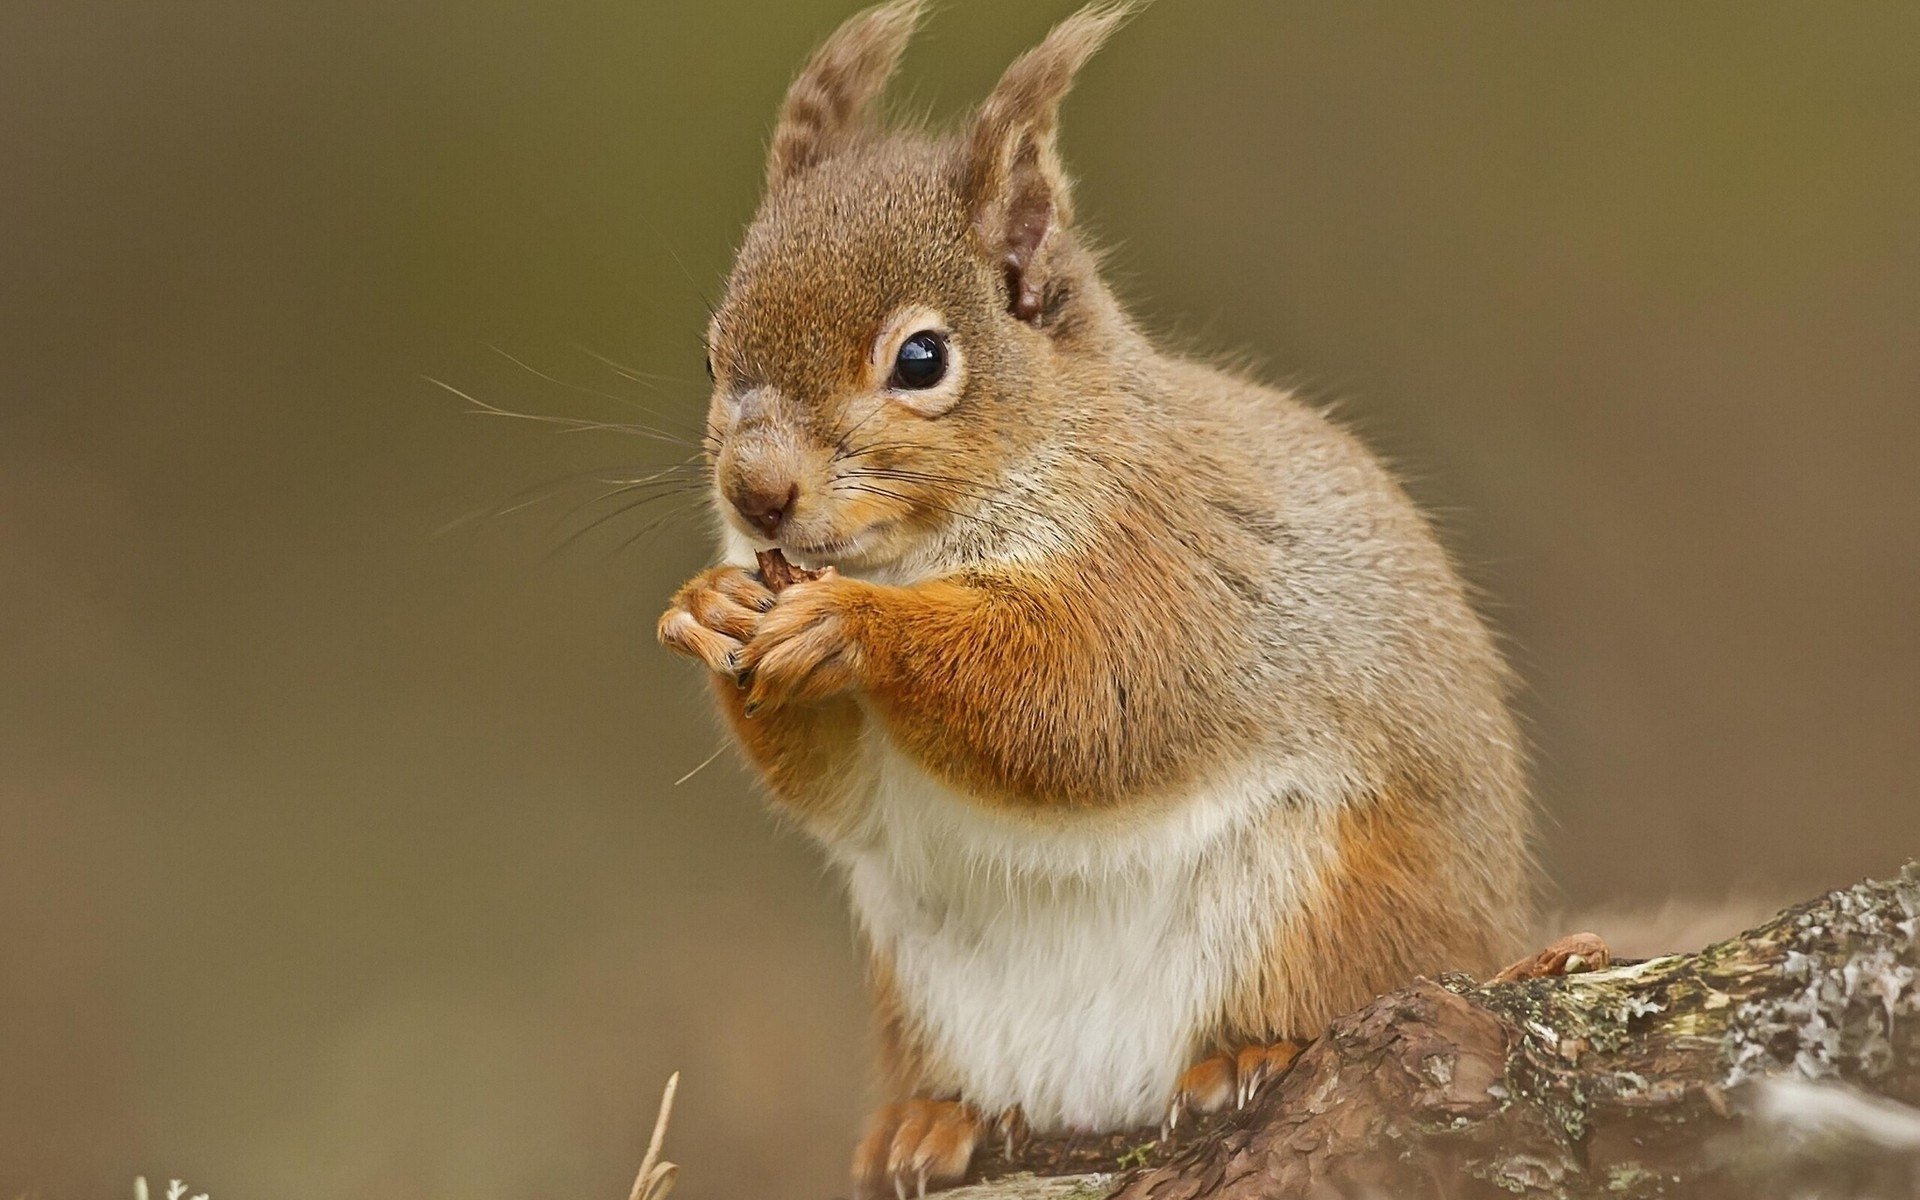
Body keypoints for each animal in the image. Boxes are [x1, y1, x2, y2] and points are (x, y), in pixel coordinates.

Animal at [656, 4, 1543, 1190]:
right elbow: (835, 787)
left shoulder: (1166, 565)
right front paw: (709, 606)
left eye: (922, 359)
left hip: (1331, 903)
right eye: (713, 356)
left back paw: (1250, 1054)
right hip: (920, 997)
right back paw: (933, 1123)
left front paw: (857, 627)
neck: (916, 553)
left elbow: (1082, 700)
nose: (755, 496)